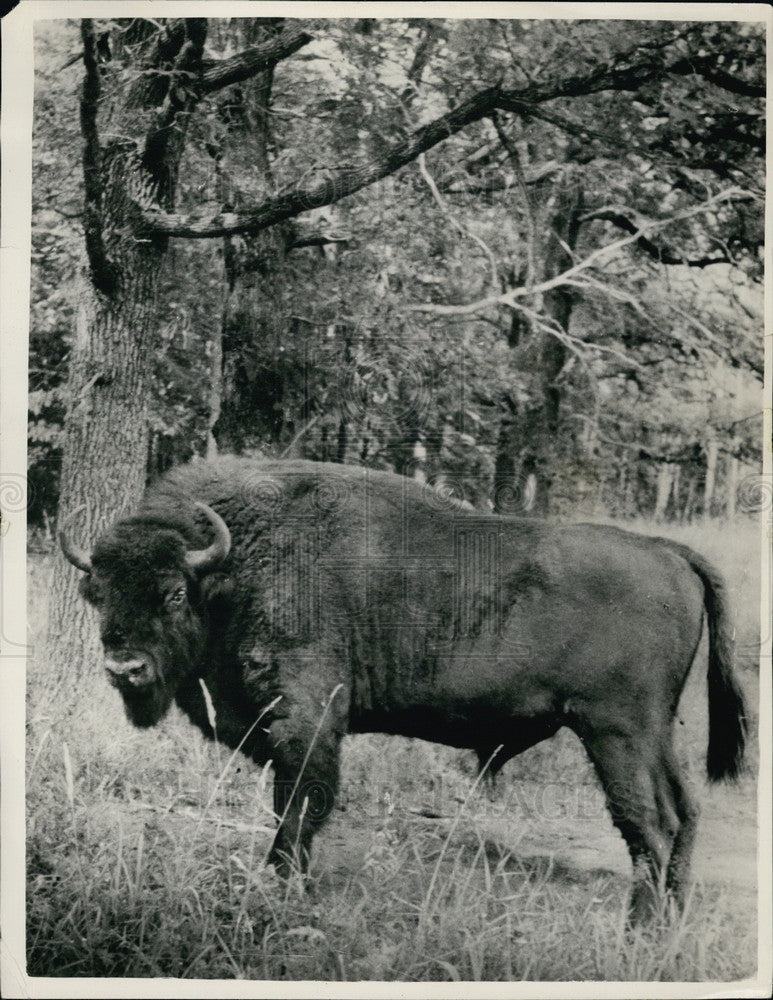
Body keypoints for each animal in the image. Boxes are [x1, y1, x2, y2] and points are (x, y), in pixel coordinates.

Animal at [57, 458, 744, 920]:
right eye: (98, 594)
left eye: (174, 592)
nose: (125, 669)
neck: (236, 565)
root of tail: (668, 552)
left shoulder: (307, 718)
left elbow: (300, 805)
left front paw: (282, 886)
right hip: (655, 731)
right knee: (685, 812)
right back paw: (670, 922)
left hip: (616, 731)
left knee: (649, 823)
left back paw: (640, 929)